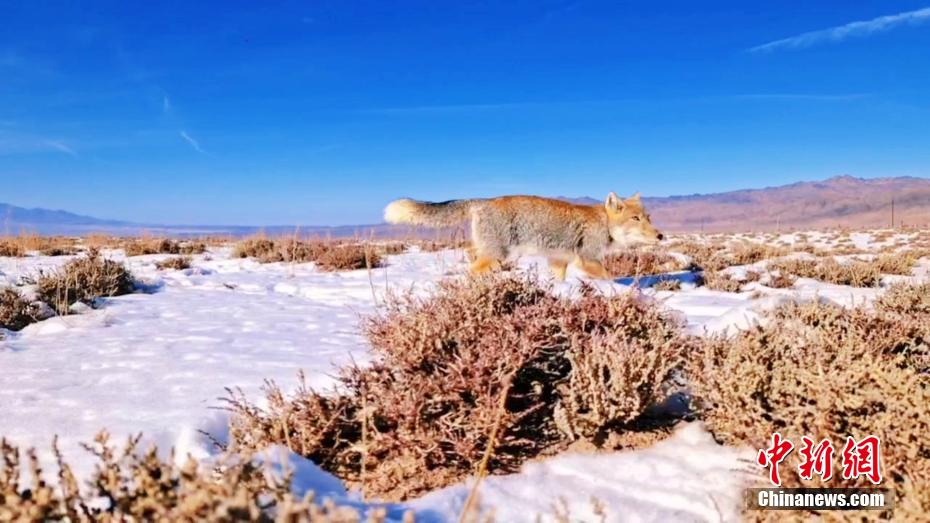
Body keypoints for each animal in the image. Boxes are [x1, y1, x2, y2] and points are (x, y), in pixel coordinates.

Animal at [383, 193, 663, 280]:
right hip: (498, 255)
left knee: (469, 254)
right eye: (636, 219)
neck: (604, 223)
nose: (661, 235)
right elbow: (611, 278)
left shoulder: (558, 261)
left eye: (648, 217)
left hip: (489, 251)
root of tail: (485, 200)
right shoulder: (588, 260)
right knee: (471, 270)